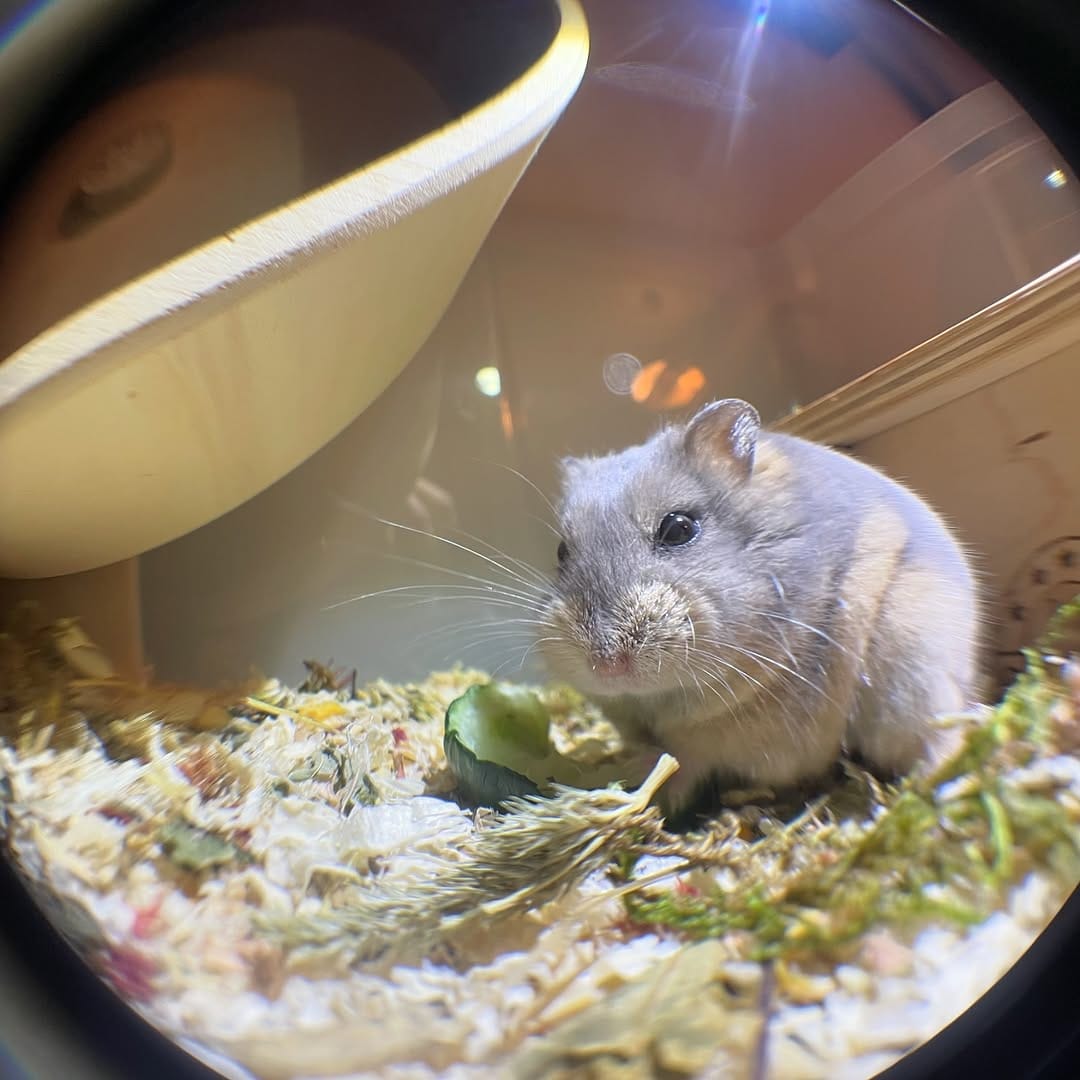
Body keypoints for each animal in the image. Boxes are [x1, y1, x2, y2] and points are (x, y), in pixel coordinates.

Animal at [539, 398, 980, 815]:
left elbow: (681, 760)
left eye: (678, 528)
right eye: (561, 552)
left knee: (942, 734)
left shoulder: (712, 728)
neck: (654, 699)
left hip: (914, 668)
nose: (606, 666)